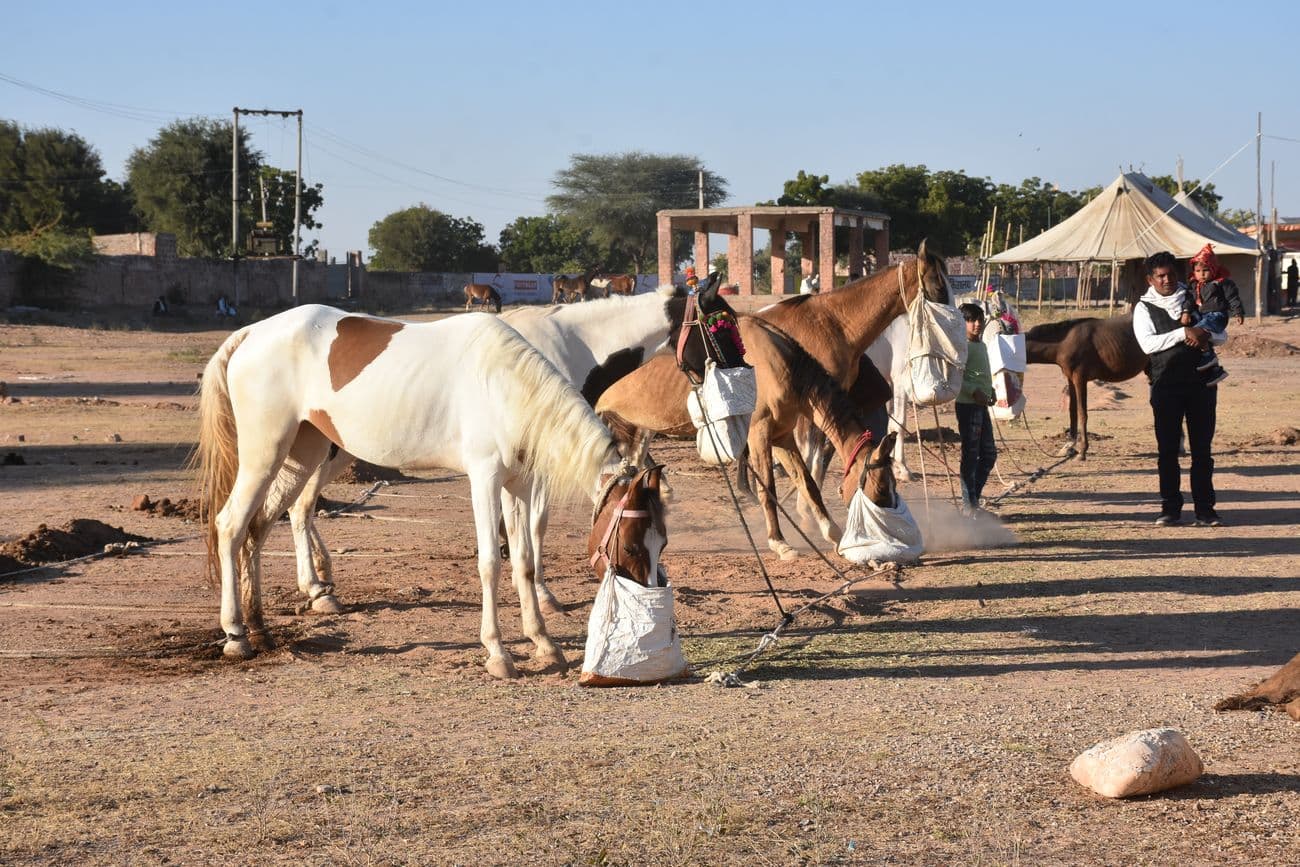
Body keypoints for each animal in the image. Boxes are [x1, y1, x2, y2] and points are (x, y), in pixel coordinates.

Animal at [196, 308, 665, 681]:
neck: (503, 385)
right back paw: (236, 634)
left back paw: (260, 626)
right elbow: (491, 564)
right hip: (265, 453)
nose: (650, 596)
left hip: (301, 453)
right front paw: (498, 653)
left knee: (259, 527)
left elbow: (525, 561)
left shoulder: (518, 484)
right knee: (231, 526)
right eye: (629, 541)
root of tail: (250, 334)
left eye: (661, 540)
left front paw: (544, 643)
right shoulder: (484, 479)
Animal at [598, 315, 894, 558]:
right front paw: (779, 543)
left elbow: (807, 482)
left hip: (636, 432)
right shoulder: (759, 432)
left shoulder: (782, 436)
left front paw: (832, 533)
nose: (884, 532)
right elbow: (767, 488)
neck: (780, 365)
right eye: (879, 488)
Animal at [1024, 311, 1149, 460]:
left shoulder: (1080, 378)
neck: (1064, 343)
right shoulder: (1070, 379)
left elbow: (1082, 412)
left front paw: (1082, 451)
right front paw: (1068, 448)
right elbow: (1072, 411)